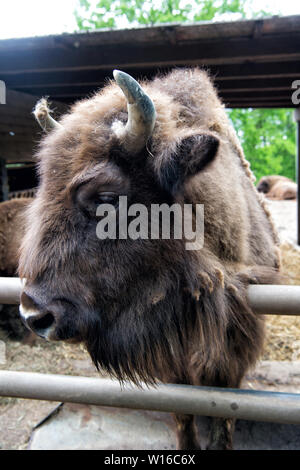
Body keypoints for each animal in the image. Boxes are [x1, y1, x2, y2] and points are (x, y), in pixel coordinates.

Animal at [19, 69, 282, 448]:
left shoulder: (231, 354)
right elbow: (182, 413)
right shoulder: (172, 360)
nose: (34, 316)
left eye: (106, 196)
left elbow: (223, 416)